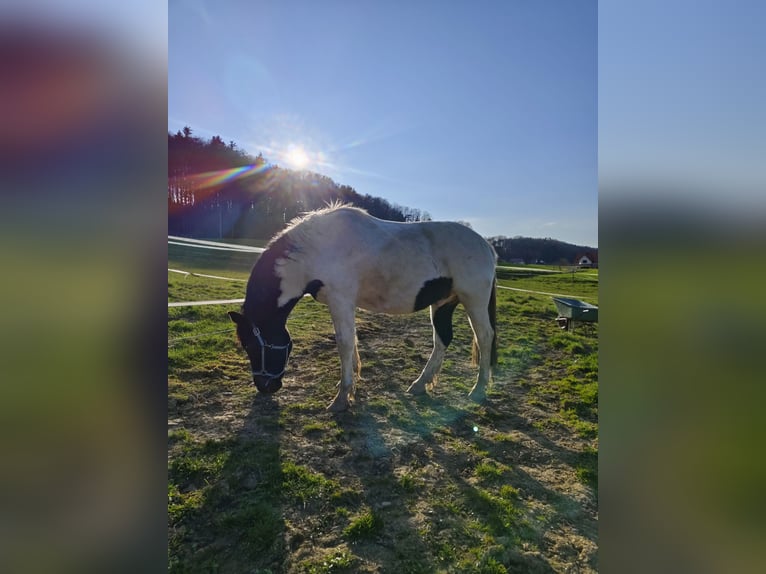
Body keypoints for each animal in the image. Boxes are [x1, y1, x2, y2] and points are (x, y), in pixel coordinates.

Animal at [228, 204, 498, 412]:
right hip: (442, 304)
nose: (265, 387)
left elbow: (345, 344)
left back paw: (478, 390)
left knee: (485, 337)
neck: (317, 250)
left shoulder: (340, 300)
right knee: (442, 339)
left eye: (251, 345)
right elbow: (352, 342)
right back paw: (420, 384)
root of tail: (487, 247)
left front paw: (341, 399)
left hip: (473, 300)